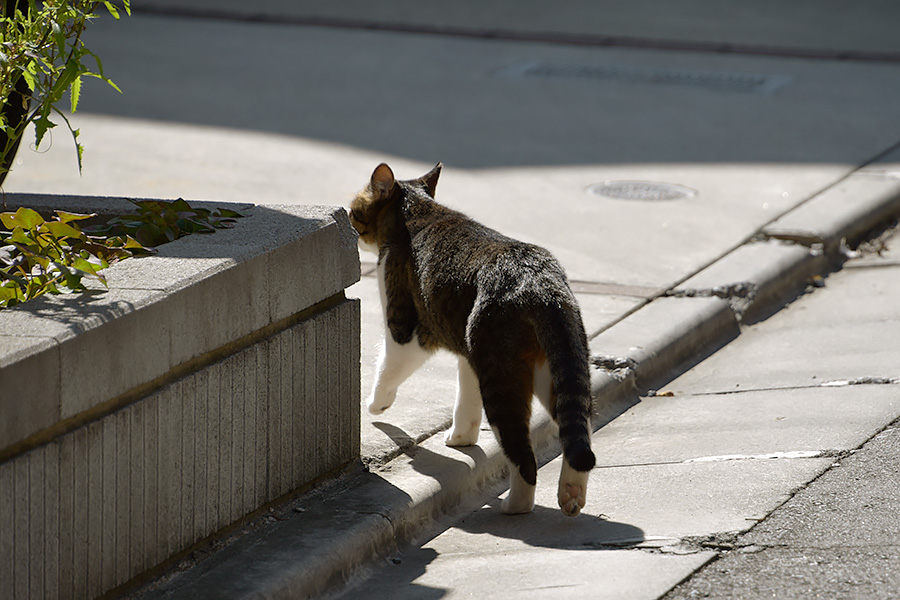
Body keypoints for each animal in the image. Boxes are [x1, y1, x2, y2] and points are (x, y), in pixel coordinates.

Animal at [352, 164, 596, 516]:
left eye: (354, 210)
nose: (350, 224)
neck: (416, 211)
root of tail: (541, 282)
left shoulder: (407, 330)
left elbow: (388, 368)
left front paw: (376, 405)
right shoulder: (468, 352)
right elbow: (466, 398)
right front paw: (461, 438)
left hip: (499, 374)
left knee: (524, 457)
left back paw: (514, 506)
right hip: (550, 367)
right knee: (578, 428)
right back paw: (571, 494)